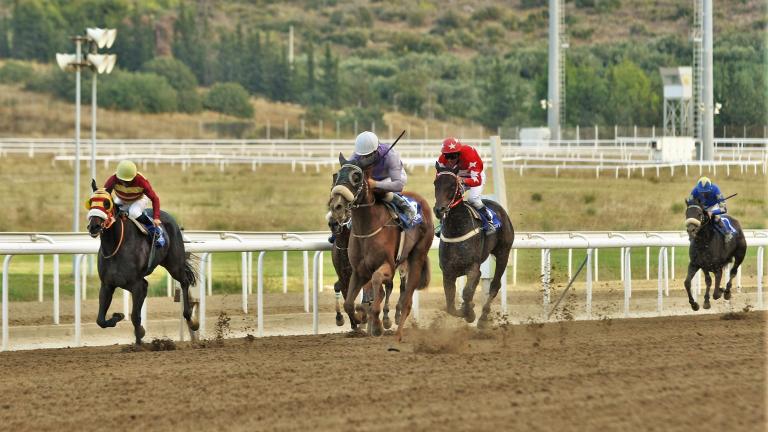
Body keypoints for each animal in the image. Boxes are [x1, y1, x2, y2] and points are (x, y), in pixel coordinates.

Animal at [86, 179, 200, 344]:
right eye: (90, 202)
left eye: (106, 203)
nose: (93, 226)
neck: (116, 246)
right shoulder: (108, 284)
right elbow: (100, 320)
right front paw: (118, 316)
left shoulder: (137, 285)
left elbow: (135, 315)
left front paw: (140, 334)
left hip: (174, 264)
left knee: (184, 282)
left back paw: (192, 320)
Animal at [328, 154, 432, 340]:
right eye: (336, 176)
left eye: (356, 177)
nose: (336, 207)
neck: (366, 229)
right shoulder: (358, 271)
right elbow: (349, 303)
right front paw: (359, 318)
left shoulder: (388, 265)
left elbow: (377, 282)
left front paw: (376, 324)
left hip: (416, 257)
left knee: (406, 298)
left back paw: (397, 332)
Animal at [432, 165, 516, 328]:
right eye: (435, 183)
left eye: (452, 185)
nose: (439, 209)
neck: (457, 229)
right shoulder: (448, 272)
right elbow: (450, 304)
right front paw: (466, 309)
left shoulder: (472, 267)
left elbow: (466, 292)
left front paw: (470, 314)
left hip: (503, 252)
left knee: (495, 285)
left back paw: (483, 318)